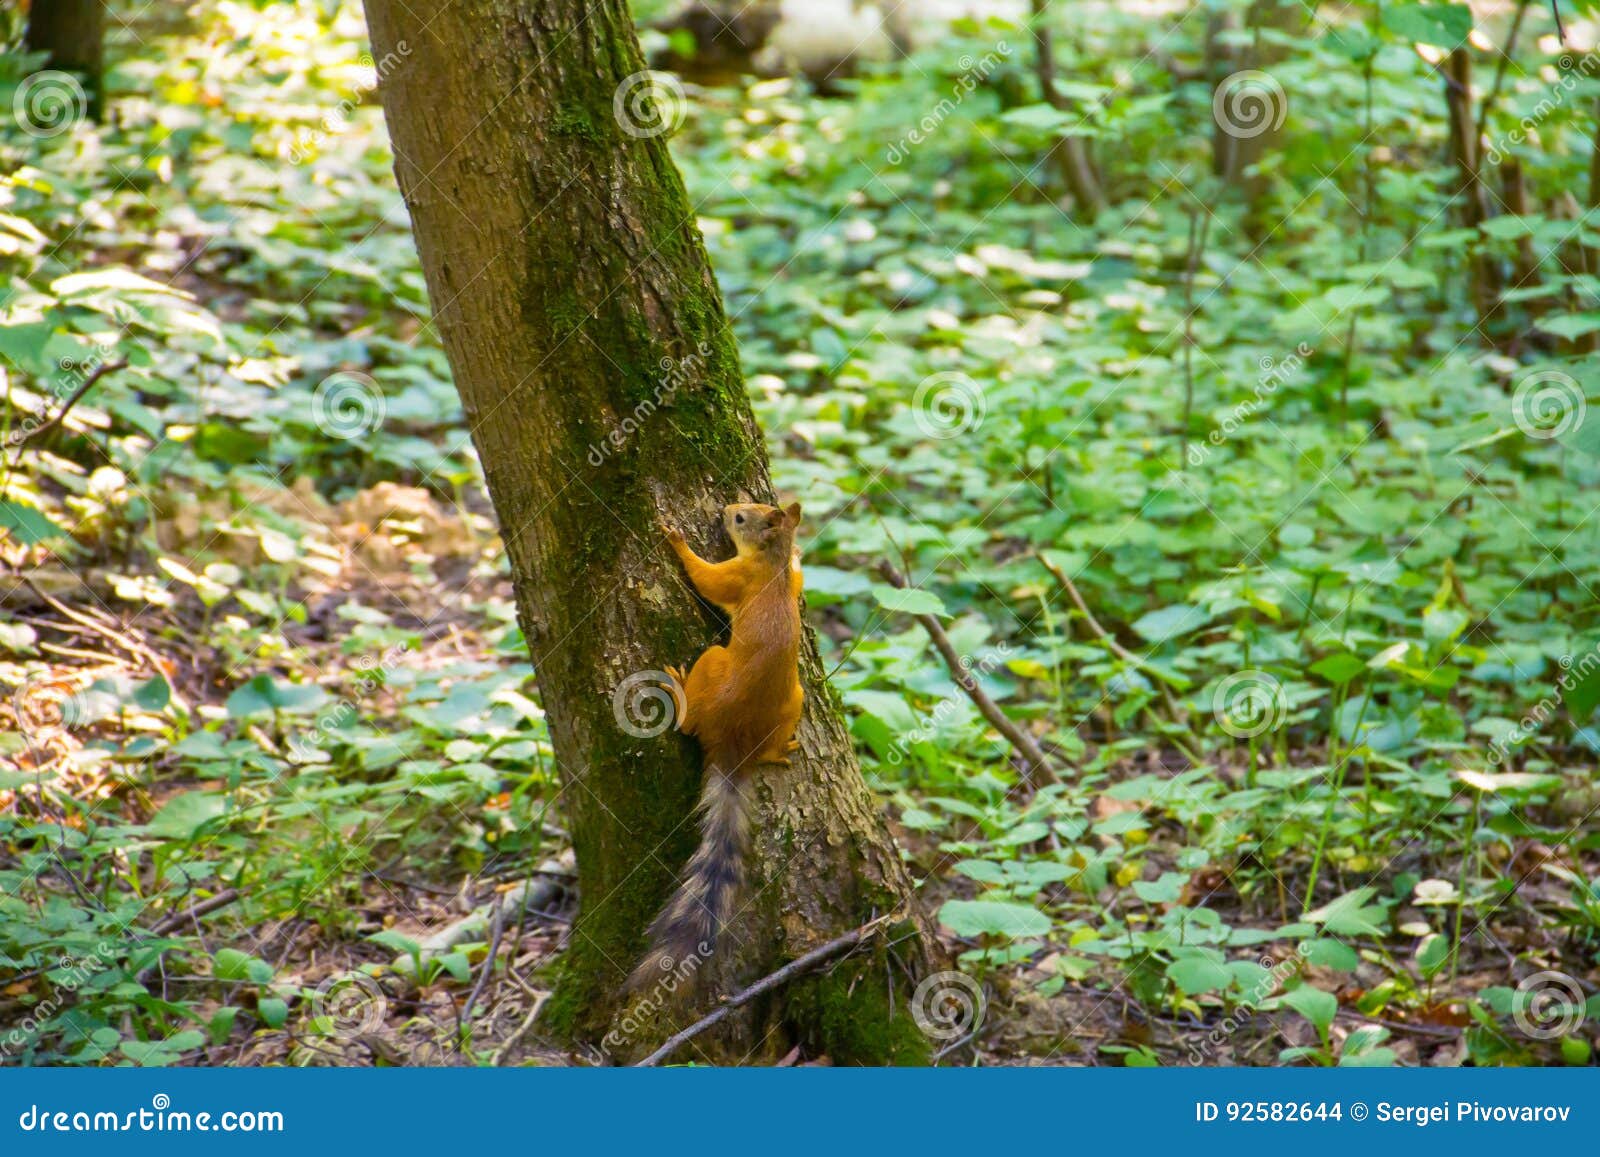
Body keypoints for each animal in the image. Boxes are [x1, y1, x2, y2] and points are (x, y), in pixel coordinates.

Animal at [628, 501, 805, 991]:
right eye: (750, 506)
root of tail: (734, 745)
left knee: (689, 726)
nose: (726, 509)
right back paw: (777, 752)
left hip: (714, 662)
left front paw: (676, 540)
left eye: (742, 519)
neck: (771, 566)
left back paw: (679, 685)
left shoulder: (737, 577)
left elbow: (705, 579)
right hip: (796, 699)